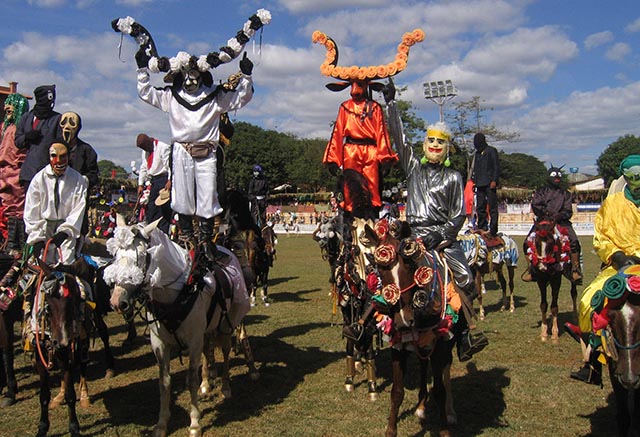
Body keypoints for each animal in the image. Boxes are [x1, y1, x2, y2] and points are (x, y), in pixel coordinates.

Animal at [103, 217, 250, 436]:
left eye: (141, 257)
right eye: (115, 255)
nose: (116, 302)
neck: (176, 292)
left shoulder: (194, 341)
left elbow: (190, 379)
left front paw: (195, 423)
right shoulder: (159, 343)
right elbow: (164, 382)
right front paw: (161, 424)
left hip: (225, 324)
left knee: (224, 351)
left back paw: (225, 387)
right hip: (207, 330)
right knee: (208, 351)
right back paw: (206, 385)